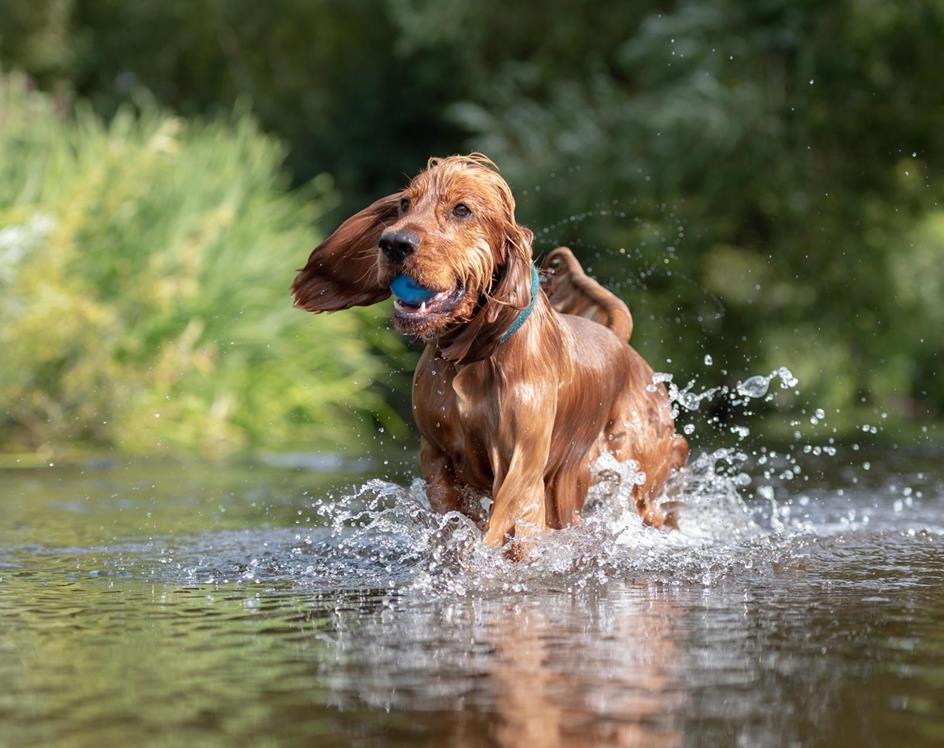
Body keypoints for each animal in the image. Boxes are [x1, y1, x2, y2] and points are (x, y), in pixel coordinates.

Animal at [292, 153, 688, 548]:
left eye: (462, 210)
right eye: (405, 203)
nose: (393, 243)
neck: (471, 357)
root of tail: (619, 339)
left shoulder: (521, 464)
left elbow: (507, 522)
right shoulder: (438, 457)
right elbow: (455, 518)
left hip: (637, 468)